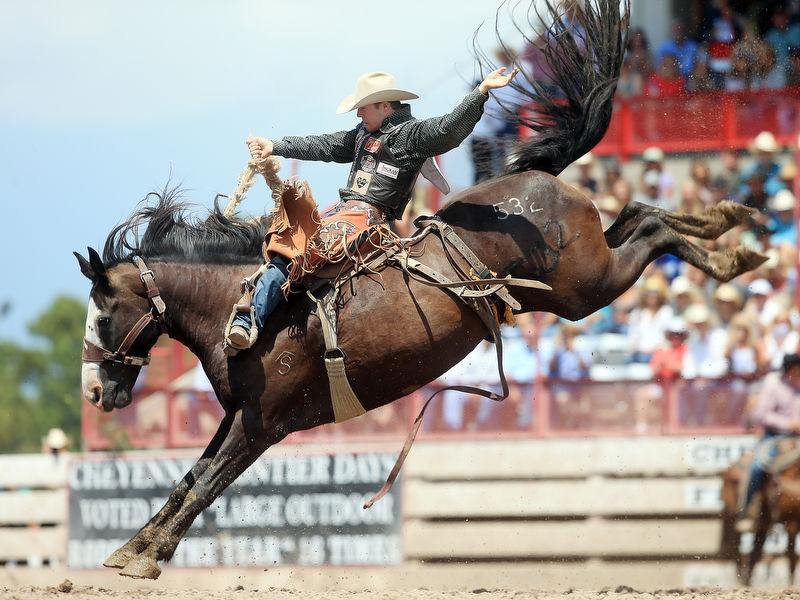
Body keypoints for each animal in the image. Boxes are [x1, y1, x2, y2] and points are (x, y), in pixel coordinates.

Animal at [76, 1, 768, 580]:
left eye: (105, 313)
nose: (94, 392)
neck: (239, 306)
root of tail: (538, 177)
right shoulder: (236, 415)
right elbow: (189, 475)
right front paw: (132, 548)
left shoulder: (264, 423)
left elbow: (207, 483)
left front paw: (146, 558)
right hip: (582, 275)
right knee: (641, 214)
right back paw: (730, 227)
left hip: (586, 289)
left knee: (651, 230)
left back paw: (735, 245)